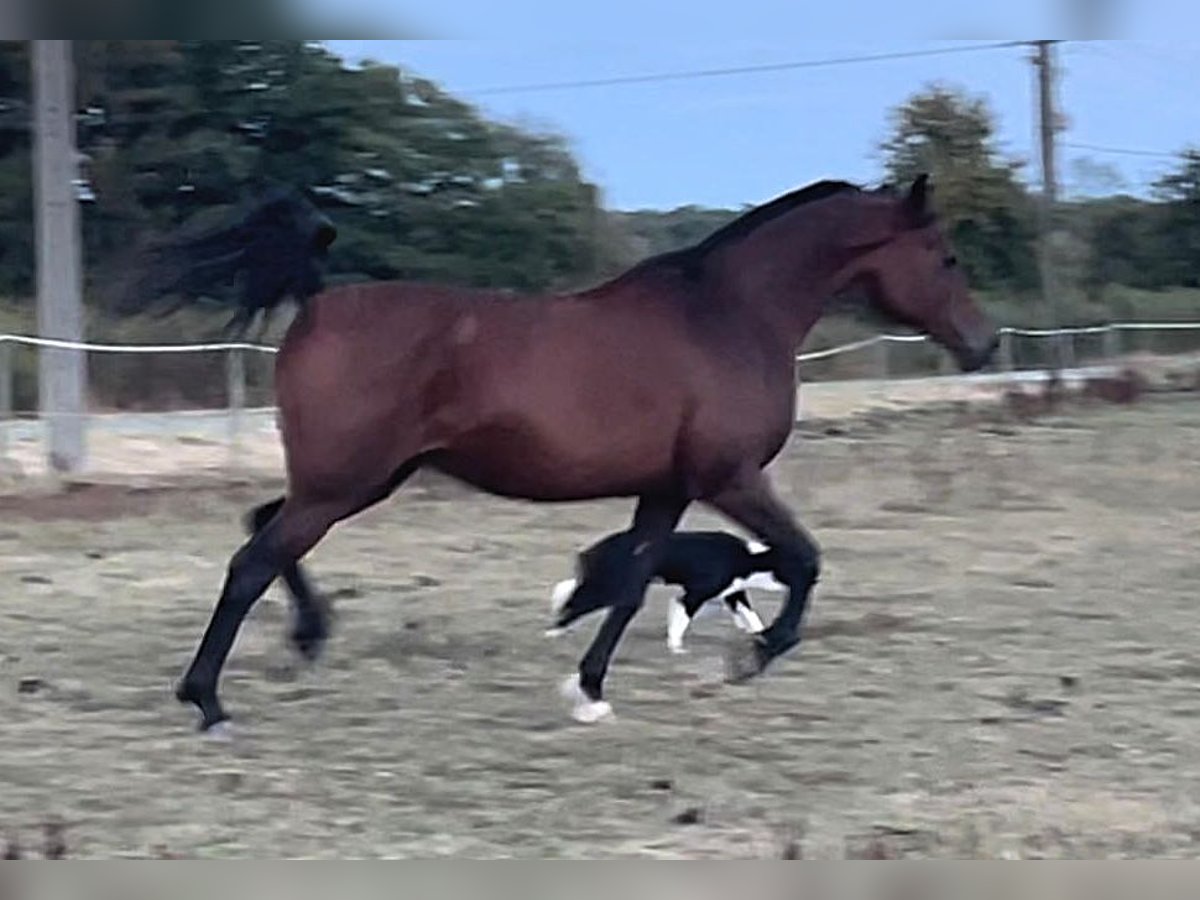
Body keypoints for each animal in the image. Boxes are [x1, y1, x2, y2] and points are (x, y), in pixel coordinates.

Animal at [145, 174, 998, 734]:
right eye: (947, 256)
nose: (984, 344)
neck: (728, 315)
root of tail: (320, 301)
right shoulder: (730, 478)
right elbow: (803, 559)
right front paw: (753, 657)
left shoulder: (668, 489)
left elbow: (630, 583)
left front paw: (589, 689)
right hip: (342, 483)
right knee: (251, 562)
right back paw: (210, 701)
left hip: (357, 478)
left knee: (262, 529)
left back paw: (307, 637)